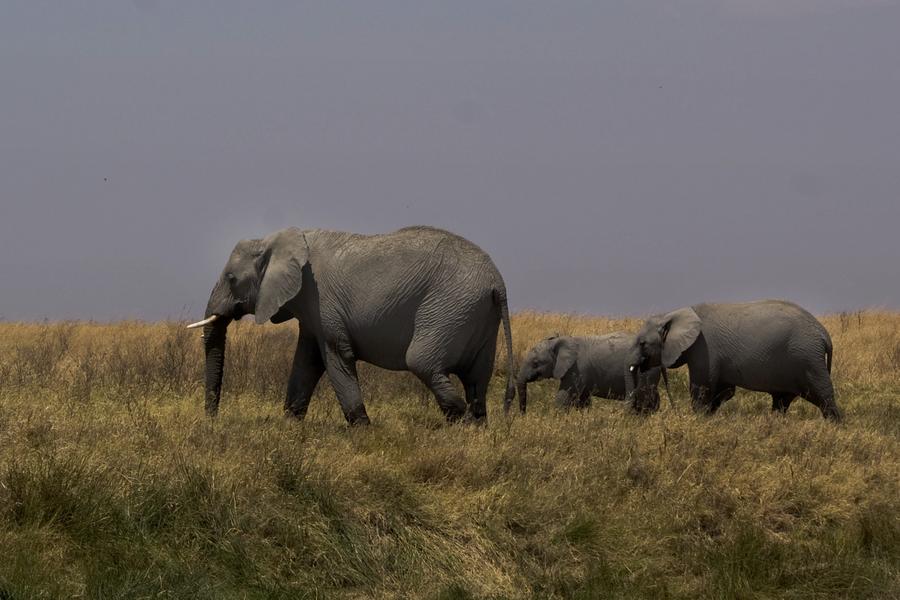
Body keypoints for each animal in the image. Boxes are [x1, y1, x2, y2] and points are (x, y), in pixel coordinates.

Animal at [186, 226, 512, 426]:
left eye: (231, 279)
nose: (212, 420)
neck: (273, 240)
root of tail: (497, 282)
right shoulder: (310, 310)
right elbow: (307, 361)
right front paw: (290, 425)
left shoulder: (323, 302)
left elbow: (336, 357)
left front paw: (363, 430)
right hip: (478, 316)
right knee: (477, 379)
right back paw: (477, 429)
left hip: (449, 307)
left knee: (422, 362)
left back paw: (461, 423)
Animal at [512, 330, 660, 414]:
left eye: (535, 363)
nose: (523, 415)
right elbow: (583, 401)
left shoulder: (576, 369)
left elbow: (564, 397)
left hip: (645, 372)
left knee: (644, 398)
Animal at [624, 300, 844, 422]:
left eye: (642, 343)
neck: (675, 313)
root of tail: (824, 334)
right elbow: (723, 391)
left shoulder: (704, 349)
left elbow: (702, 389)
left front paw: (698, 419)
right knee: (782, 401)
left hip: (808, 359)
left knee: (823, 396)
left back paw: (836, 426)